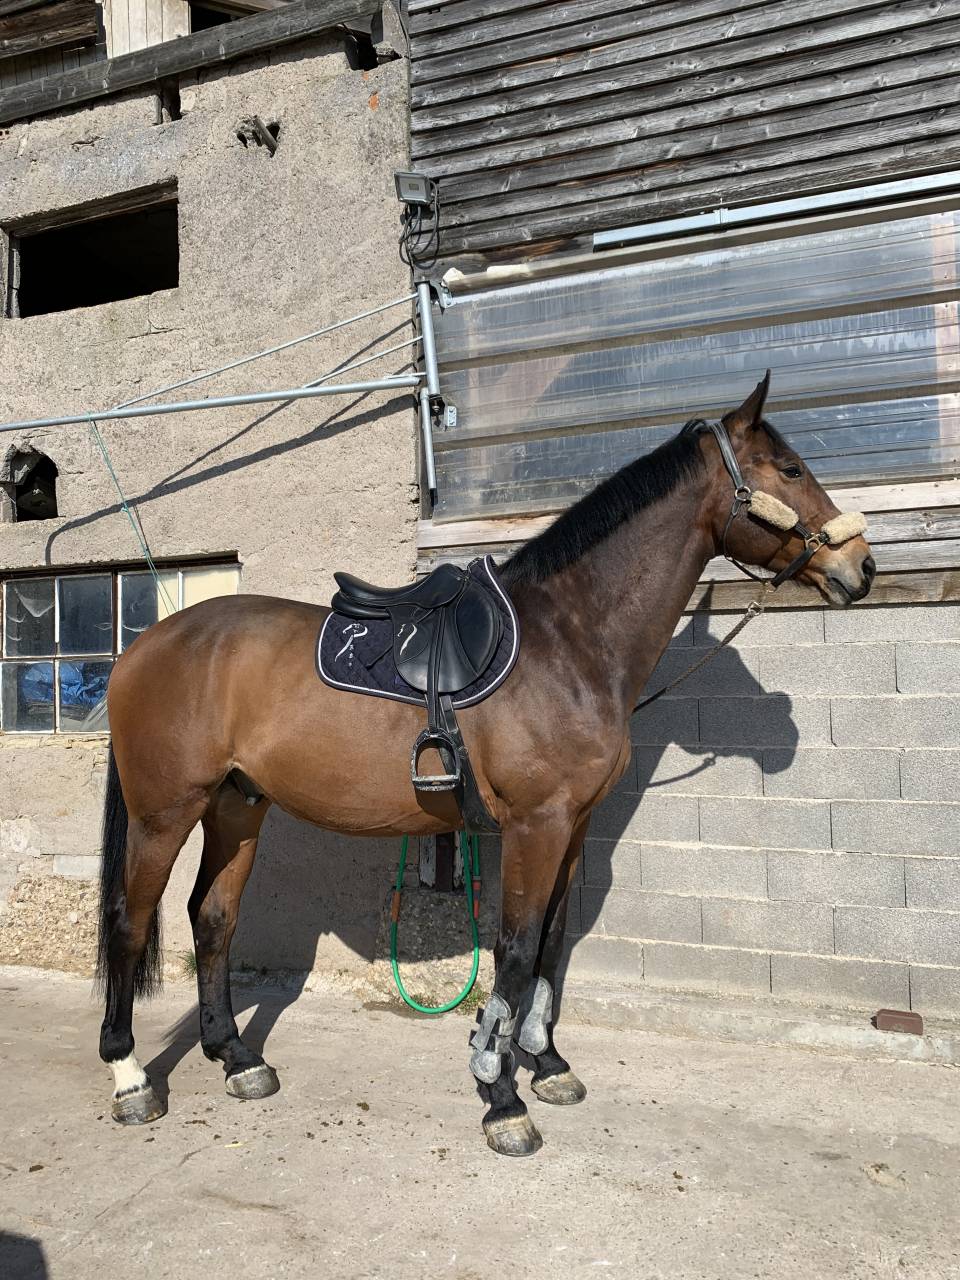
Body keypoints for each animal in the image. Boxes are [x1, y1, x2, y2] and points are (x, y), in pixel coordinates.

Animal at [95, 373, 875, 1156]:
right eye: (791, 470)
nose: (861, 567)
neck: (566, 643)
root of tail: (142, 648)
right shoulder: (536, 825)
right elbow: (517, 947)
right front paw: (501, 1096)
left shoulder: (572, 827)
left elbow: (551, 944)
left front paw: (546, 1063)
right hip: (165, 814)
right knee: (131, 922)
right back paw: (130, 1080)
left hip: (236, 807)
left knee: (212, 919)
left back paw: (237, 1058)